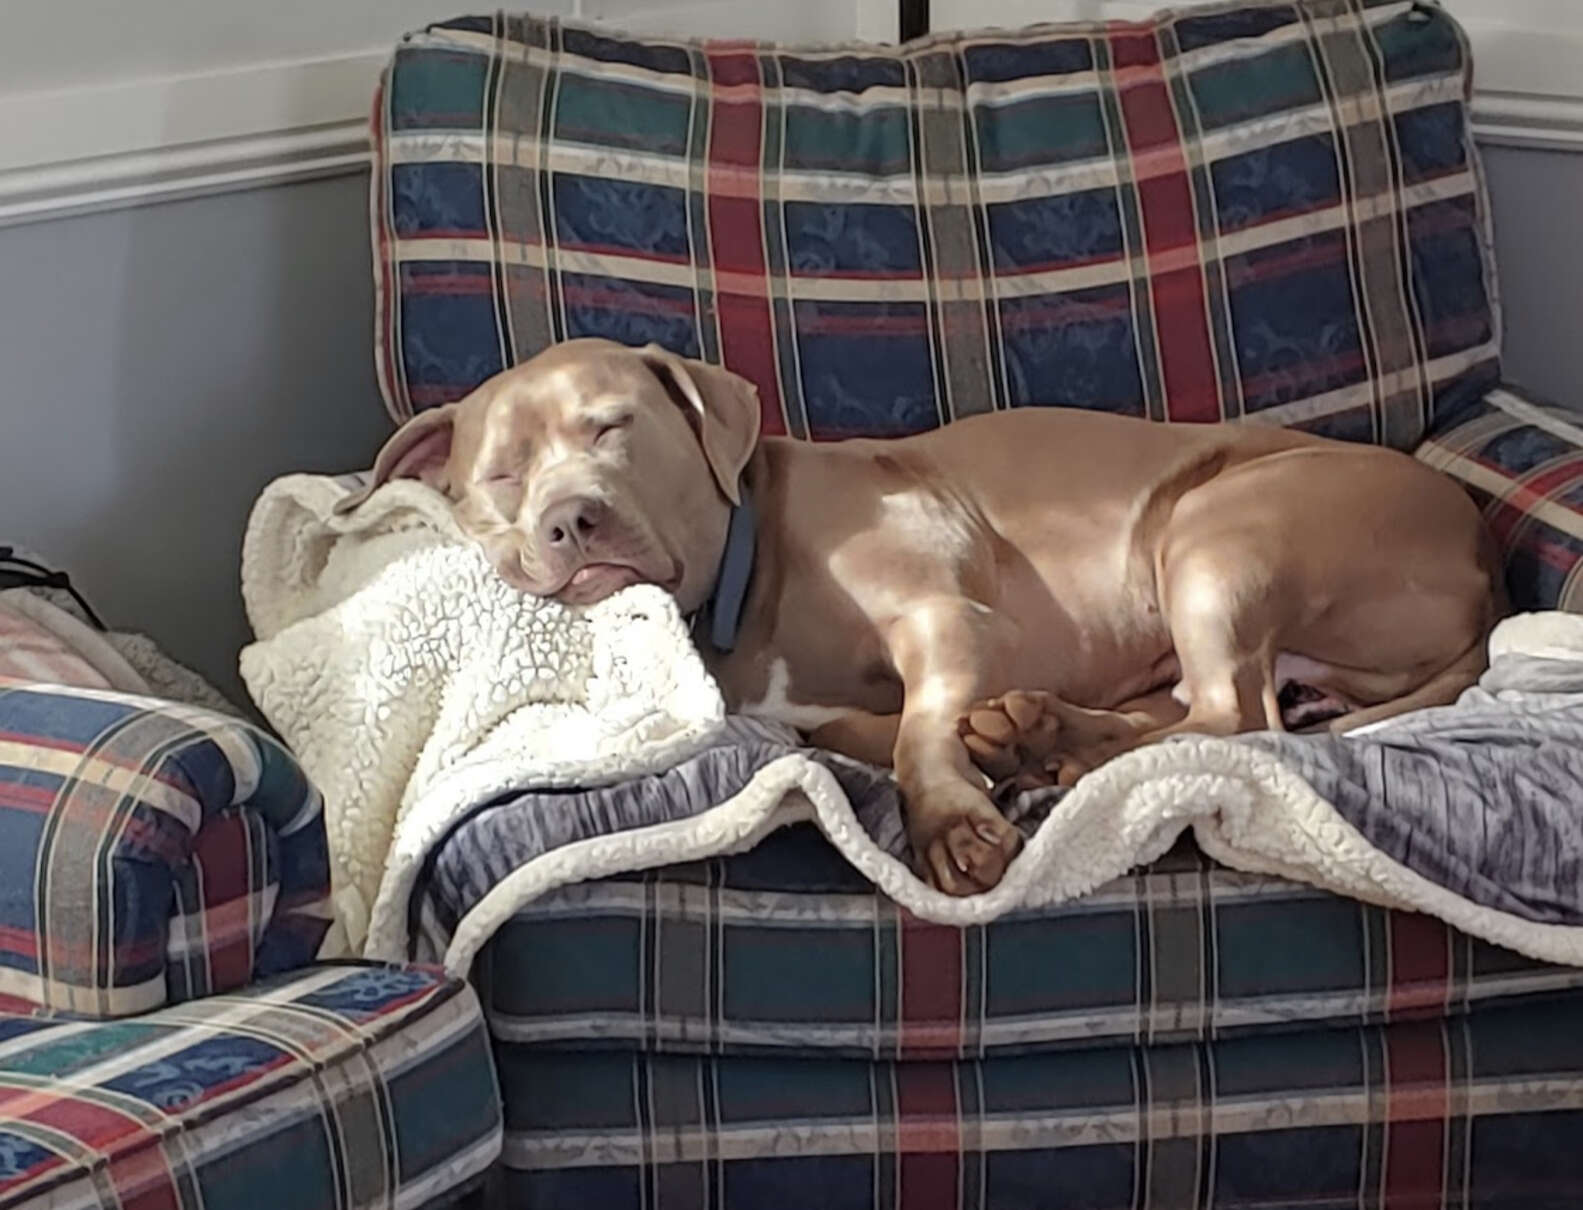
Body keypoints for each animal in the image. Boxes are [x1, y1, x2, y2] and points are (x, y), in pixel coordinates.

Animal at [340, 340, 1500, 899]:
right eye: (500, 474)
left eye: (612, 428)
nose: (568, 518)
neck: (749, 568)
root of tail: (1483, 563)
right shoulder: (822, 709)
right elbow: (877, 731)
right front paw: (992, 757)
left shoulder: (945, 617)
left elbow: (915, 734)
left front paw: (952, 824)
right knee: (1191, 711)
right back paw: (1043, 739)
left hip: (1219, 528)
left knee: (1231, 715)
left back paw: (1050, 753)